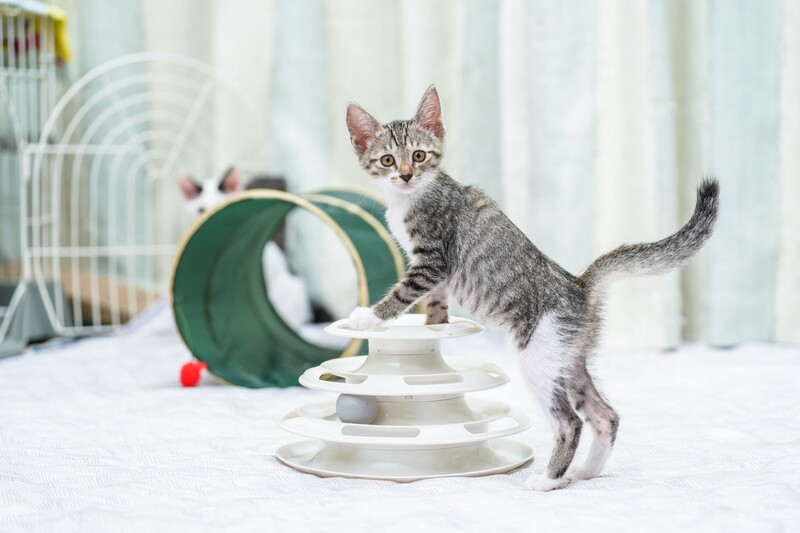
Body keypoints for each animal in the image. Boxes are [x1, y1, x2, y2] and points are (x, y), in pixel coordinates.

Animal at [345, 86, 719, 491]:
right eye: (386, 160)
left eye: (418, 155)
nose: (406, 175)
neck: (410, 198)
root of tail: (579, 285)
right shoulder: (439, 275)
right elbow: (436, 306)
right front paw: (434, 328)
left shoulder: (432, 261)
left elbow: (402, 293)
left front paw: (368, 317)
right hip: (568, 357)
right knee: (605, 415)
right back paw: (585, 472)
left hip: (539, 353)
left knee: (570, 421)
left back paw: (549, 480)